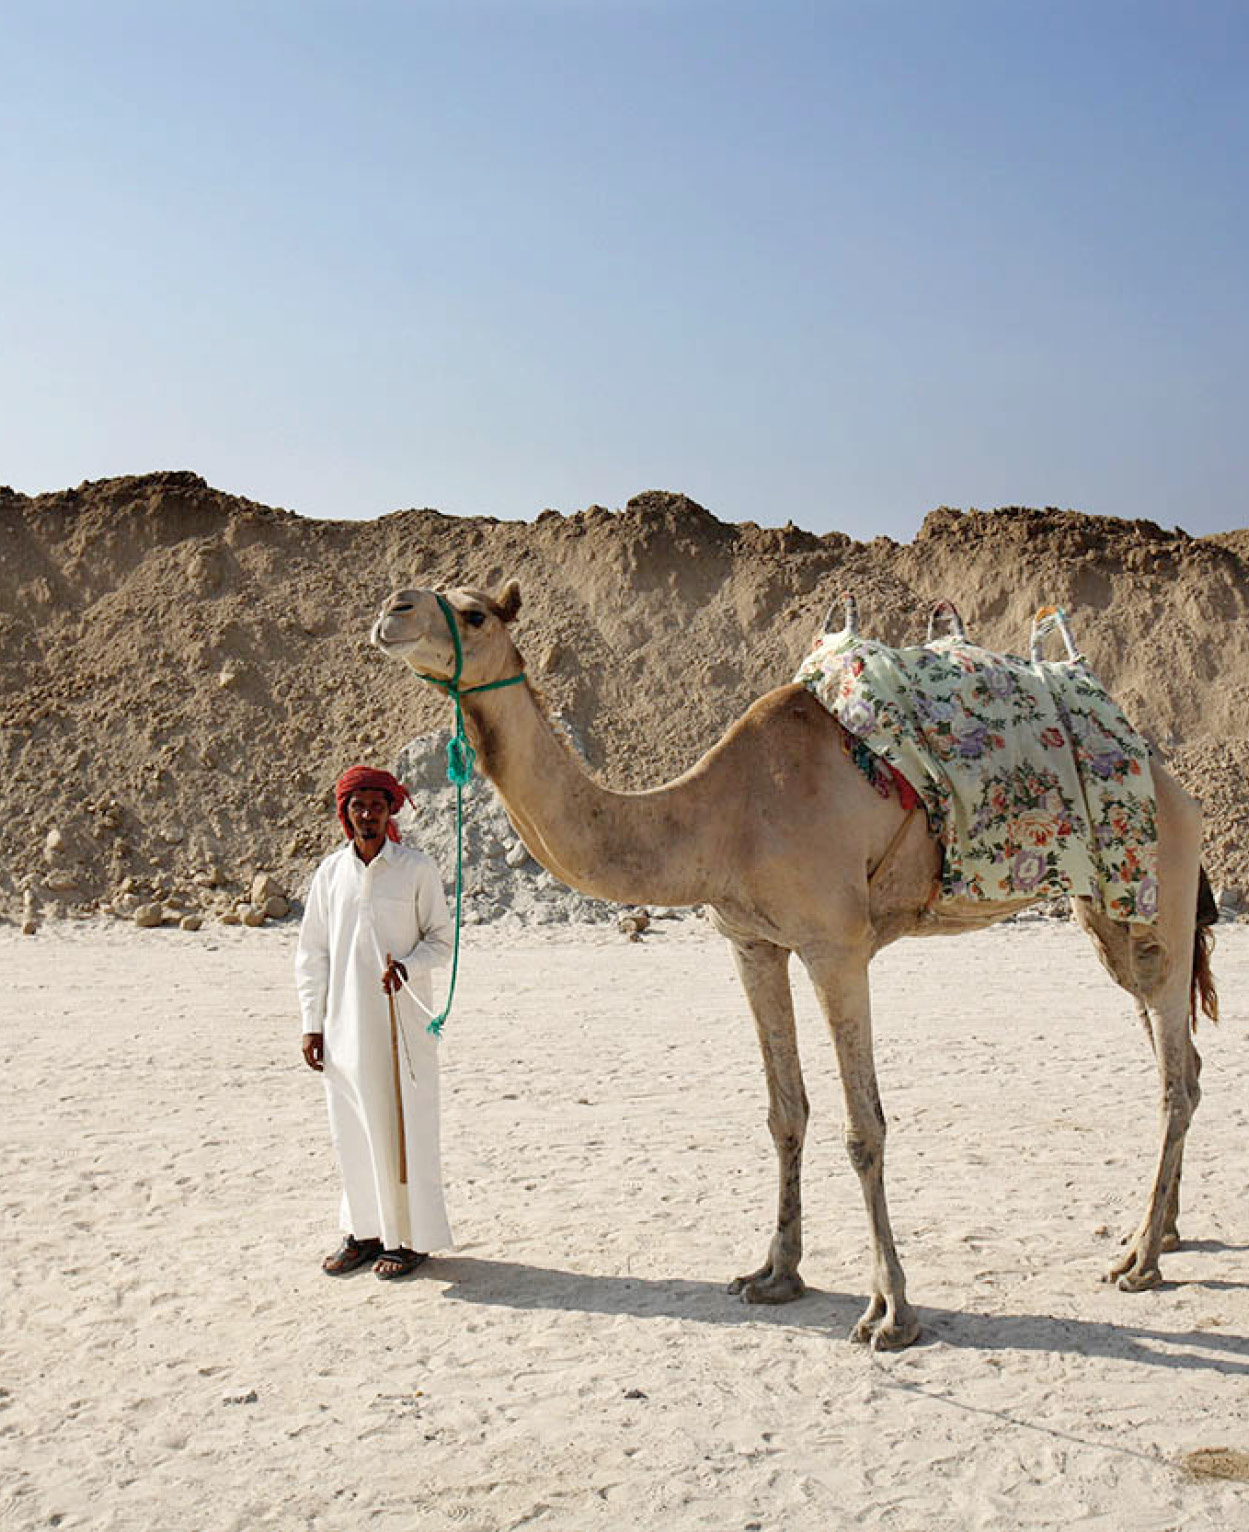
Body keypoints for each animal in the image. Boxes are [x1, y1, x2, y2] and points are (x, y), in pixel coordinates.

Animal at [370, 579, 1219, 1348]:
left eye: (474, 612)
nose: (391, 609)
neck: (717, 817)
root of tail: (1170, 781)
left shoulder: (833, 944)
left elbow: (863, 1127)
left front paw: (890, 1312)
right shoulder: (751, 943)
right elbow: (784, 1113)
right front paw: (774, 1273)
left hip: (1157, 894)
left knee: (1174, 1075)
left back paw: (1139, 1261)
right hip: (1107, 919)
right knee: (1179, 1056)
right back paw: (1163, 1233)